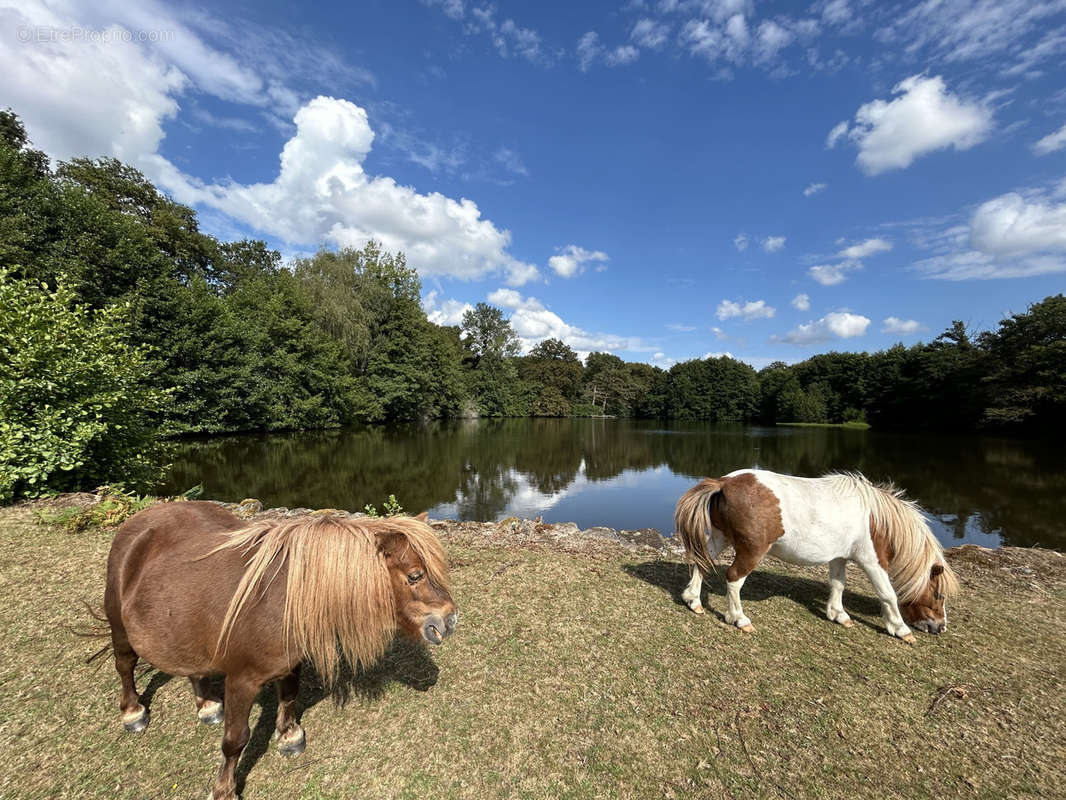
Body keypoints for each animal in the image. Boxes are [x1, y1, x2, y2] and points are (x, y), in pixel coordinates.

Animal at [98, 503, 451, 797]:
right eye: (415, 576)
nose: (448, 621)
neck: (286, 597)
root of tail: (138, 523)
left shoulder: (291, 664)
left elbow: (289, 697)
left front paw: (289, 735)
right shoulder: (240, 681)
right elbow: (235, 740)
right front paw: (224, 789)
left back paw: (208, 706)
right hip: (120, 629)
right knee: (125, 665)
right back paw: (133, 712)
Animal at [673, 469, 959, 644]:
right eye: (938, 595)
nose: (941, 627)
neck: (876, 519)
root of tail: (725, 483)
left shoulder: (839, 557)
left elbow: (838, 584)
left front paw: (838, 614)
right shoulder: (871, 560)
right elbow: (888, 594)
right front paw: (900, 629)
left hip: (721, 538)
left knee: (703, 562)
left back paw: (693, 600)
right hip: (751, 551)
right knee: (733, 578)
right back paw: (738, 619)